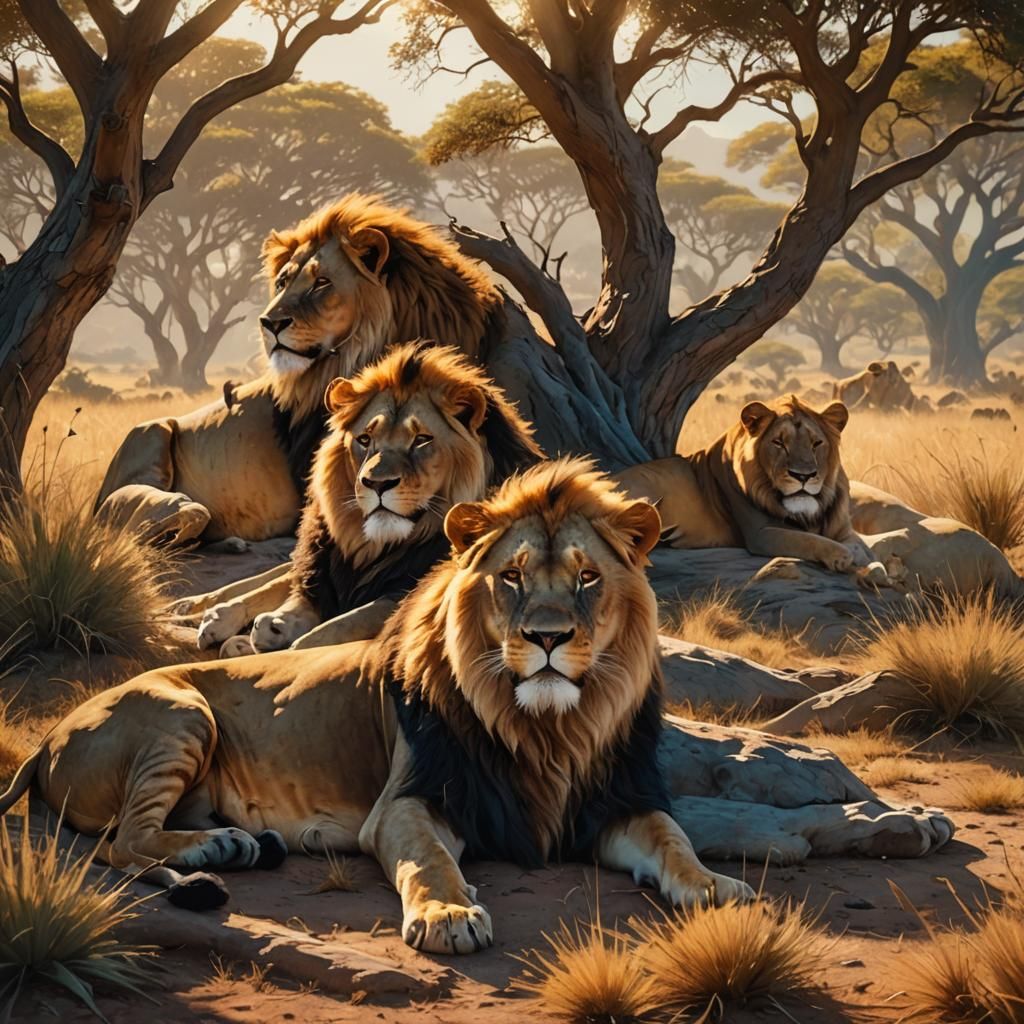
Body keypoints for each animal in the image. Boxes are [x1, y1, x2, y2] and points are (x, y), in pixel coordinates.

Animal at [1, 458, 753, 952]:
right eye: (510, 578)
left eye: (587, 578)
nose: (547, 638)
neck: (547, 727)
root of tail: (44, 741)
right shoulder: (409, 800)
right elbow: (429, 860)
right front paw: (449, 917)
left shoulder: (619, 801)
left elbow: (673, 839)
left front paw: (718, 888)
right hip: (179, 713)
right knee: (123, 843)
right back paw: (222, 847)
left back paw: (245, 844)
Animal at [195, 342, 543, 654]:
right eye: (365, 439)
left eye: (422, 439)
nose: (376, 483)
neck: (375, 547)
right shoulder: (323, 569)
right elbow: (289, 591)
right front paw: (257, 628)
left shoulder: (403, 593)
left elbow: (322, 636)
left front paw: (268, 639)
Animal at [615, 394, 887, 577]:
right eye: (779, 443)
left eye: (816, 443)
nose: (803, 476)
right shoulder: (760, 533)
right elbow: (807, 540)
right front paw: (841, 556)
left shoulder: (843, 530)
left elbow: (865, 549)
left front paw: (878, 569)